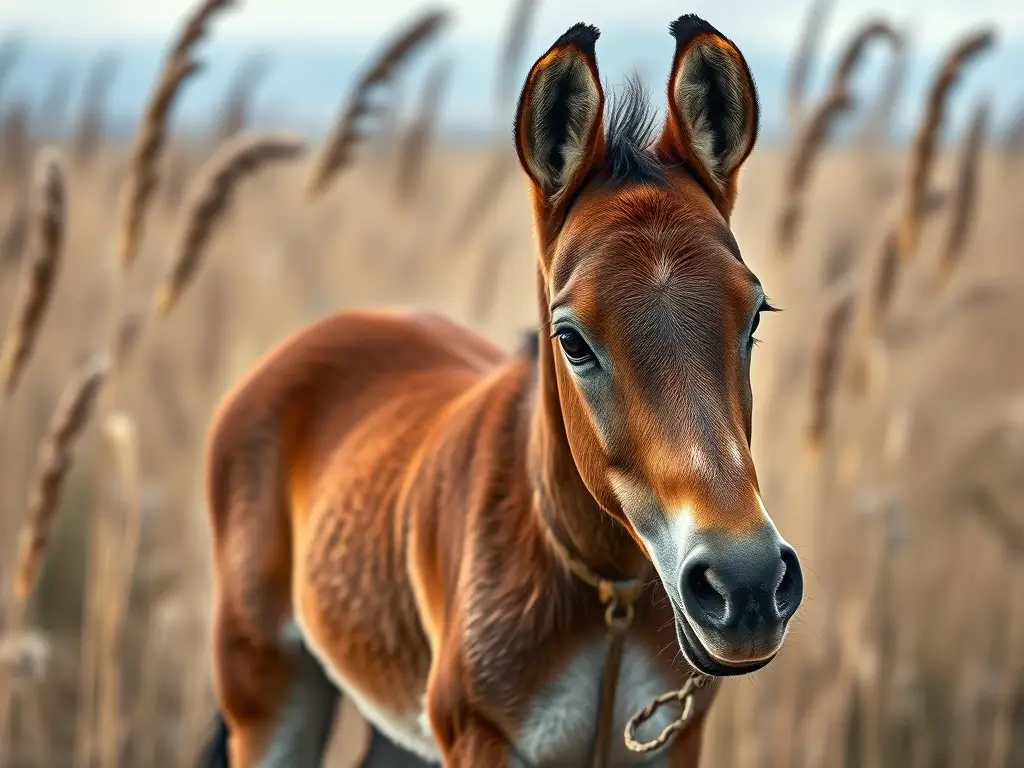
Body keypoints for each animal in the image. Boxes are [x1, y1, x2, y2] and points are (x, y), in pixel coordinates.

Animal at [198, 14, 804, 767]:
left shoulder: (673, 741)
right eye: (571, 339)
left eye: (756, 315)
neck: (608, 593)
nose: (745, 586)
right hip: (271, 694)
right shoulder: (480, 738)